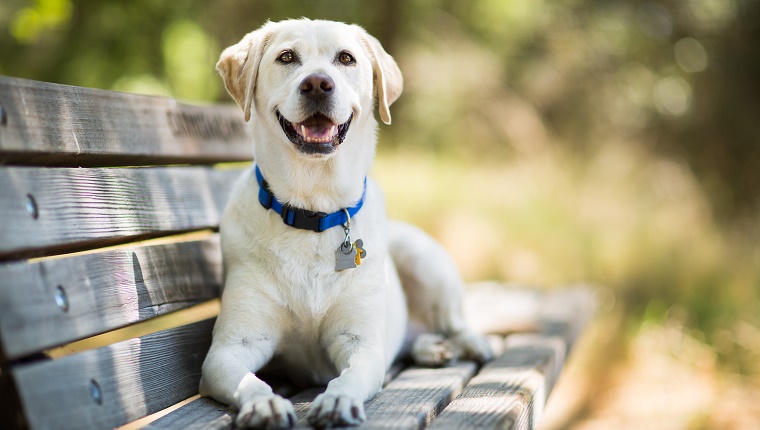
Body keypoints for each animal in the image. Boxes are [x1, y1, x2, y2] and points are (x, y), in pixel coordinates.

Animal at [199, 19, 490, 430]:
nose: (317, 84)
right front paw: (264, 403)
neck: (313, 211)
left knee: (453, 321)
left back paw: (470, 343)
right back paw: (430, 347)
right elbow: (249, 380)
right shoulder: (229, 349)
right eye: (286, 57)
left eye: (346, 59)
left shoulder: (360, 343)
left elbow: (349, 375)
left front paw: (338, 400)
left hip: (422, 257)